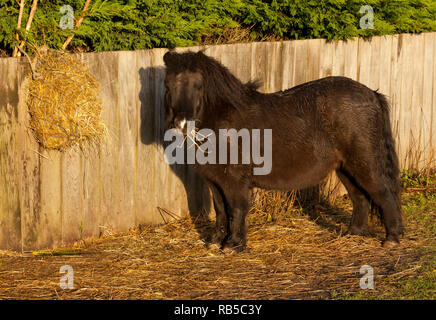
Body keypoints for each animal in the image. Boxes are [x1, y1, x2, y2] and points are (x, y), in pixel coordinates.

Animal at [162, 50, 404, 252]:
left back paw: (392, 238)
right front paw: (215, 241)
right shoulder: (214, 181)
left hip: (364, 163)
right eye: (168, 85)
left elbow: (236, 209)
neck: (223, 121)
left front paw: (233, 244)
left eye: (198, 85)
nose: (181, 124)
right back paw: (352, 233)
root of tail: (372, 94)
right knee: (360, 197)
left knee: (383, 193)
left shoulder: (235, 181)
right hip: (345, 167)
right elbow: (221, 210)